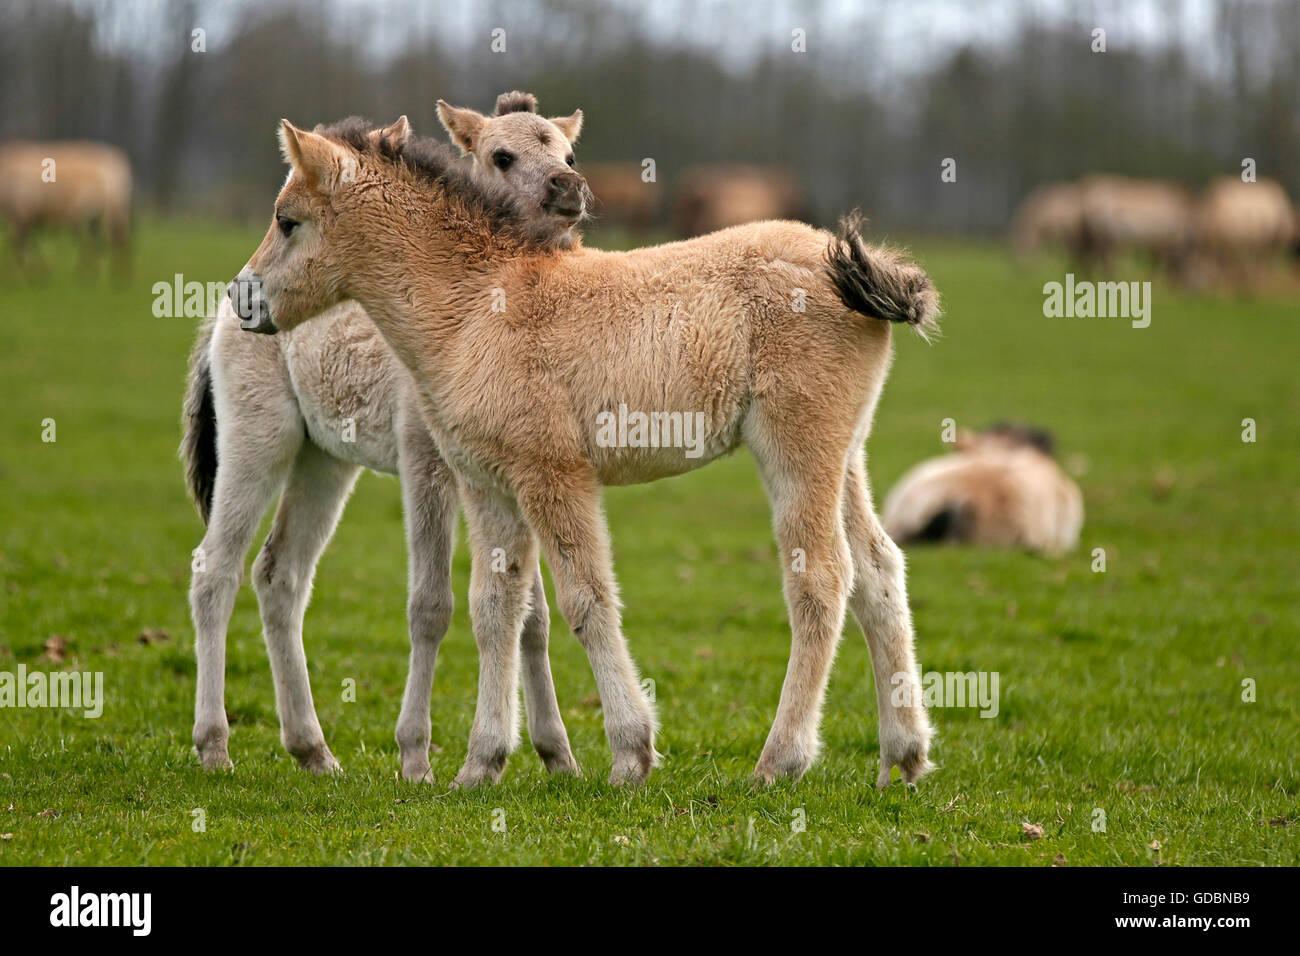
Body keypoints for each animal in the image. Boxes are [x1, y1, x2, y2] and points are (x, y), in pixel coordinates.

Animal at [0, 138, 131, 274]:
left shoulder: (21, 217)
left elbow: (20, 251)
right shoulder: (25, 219)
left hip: (93, 215)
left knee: (96, 248)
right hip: (106, 216)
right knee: (109, 247)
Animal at [183, 95, 590, 785]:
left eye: (566, 152)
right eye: (501, 156)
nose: (570, 189)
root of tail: (221, 314)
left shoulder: (506, 470)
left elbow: (531, 617)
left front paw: (557, 753)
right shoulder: (427, 462)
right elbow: (431, 605)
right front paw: (416, 757)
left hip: (323, 462)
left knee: (279, 575)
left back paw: (314, 750)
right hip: (258, 440)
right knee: (216, 570)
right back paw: (215, 746)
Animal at [228, 117, 941, 790]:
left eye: (288, 221)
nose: (240, 298)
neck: (477, 303)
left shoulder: (553, 474)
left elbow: (587, 601)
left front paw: (630, 753)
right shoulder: (487, 483)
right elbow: (495, 609)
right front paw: (480, 764)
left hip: (797, 448)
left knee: (821, 578)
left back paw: (780, 760)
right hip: (845, 456)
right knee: (878, 567)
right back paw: (901, 758)